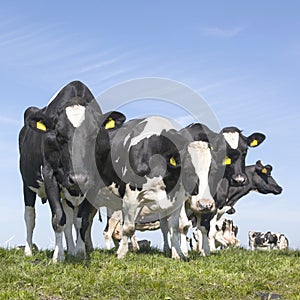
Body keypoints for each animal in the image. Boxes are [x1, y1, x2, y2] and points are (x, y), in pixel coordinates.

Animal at [19, 81, 124, 262]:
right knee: (30, 217)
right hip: (27, 183)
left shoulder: (94, 181)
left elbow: (81, 221)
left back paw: (71, 249)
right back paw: (28, 250)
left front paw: (80, 252)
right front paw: (58, 256)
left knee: (69, 219)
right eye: (58, 134)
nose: (78, 179)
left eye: (94, 135)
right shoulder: (49, 175)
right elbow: (58, 218)